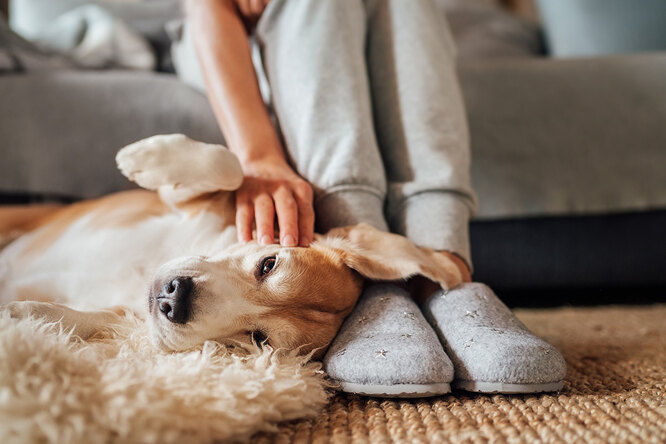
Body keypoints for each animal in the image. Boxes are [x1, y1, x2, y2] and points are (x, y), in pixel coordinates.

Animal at [0, 134, 460, 358]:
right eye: (269, 263)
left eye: (259, 339)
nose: (174, 299)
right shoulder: (188, 204)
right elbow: (229, 166)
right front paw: (145, 157)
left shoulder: (125, 316)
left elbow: (88, 319)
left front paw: (22, 317)